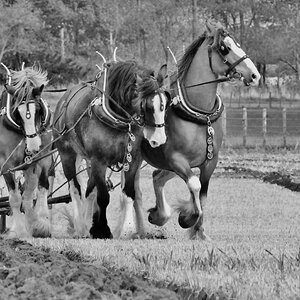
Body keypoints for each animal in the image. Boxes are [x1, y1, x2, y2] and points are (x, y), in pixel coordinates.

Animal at [0, 64, 52, 238]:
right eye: (17, 112)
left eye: (38, 108)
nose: (34, 146)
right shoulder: (6, 165)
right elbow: (15, 198)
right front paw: (20, 231)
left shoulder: (40, 161)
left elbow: (34, 192)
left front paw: (40, 224)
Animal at [53, 60, 170, 239]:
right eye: (145, 105)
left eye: (164, 102)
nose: (159, 139)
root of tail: (64, 99)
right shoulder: (98, 161)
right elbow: (103, 196)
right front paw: (101, 229)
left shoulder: (132, 159)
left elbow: (128, 193)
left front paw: (127, 229)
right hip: (67, 155)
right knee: (75, 189)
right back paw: (80, 227)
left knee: (89, 190)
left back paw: (87, 223)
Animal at [116, 19, 262, 239]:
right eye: (224, 48)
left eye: (237, 44)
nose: (254, 75)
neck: (201, 114)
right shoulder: (176, 159)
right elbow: (195, 185)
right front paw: (188, 217)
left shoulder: (209, 162)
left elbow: (203, 194)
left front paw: (199, 231)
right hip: (134, 158)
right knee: (130, 191)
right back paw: (133, 228)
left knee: (155, 179)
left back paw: (155, 219)